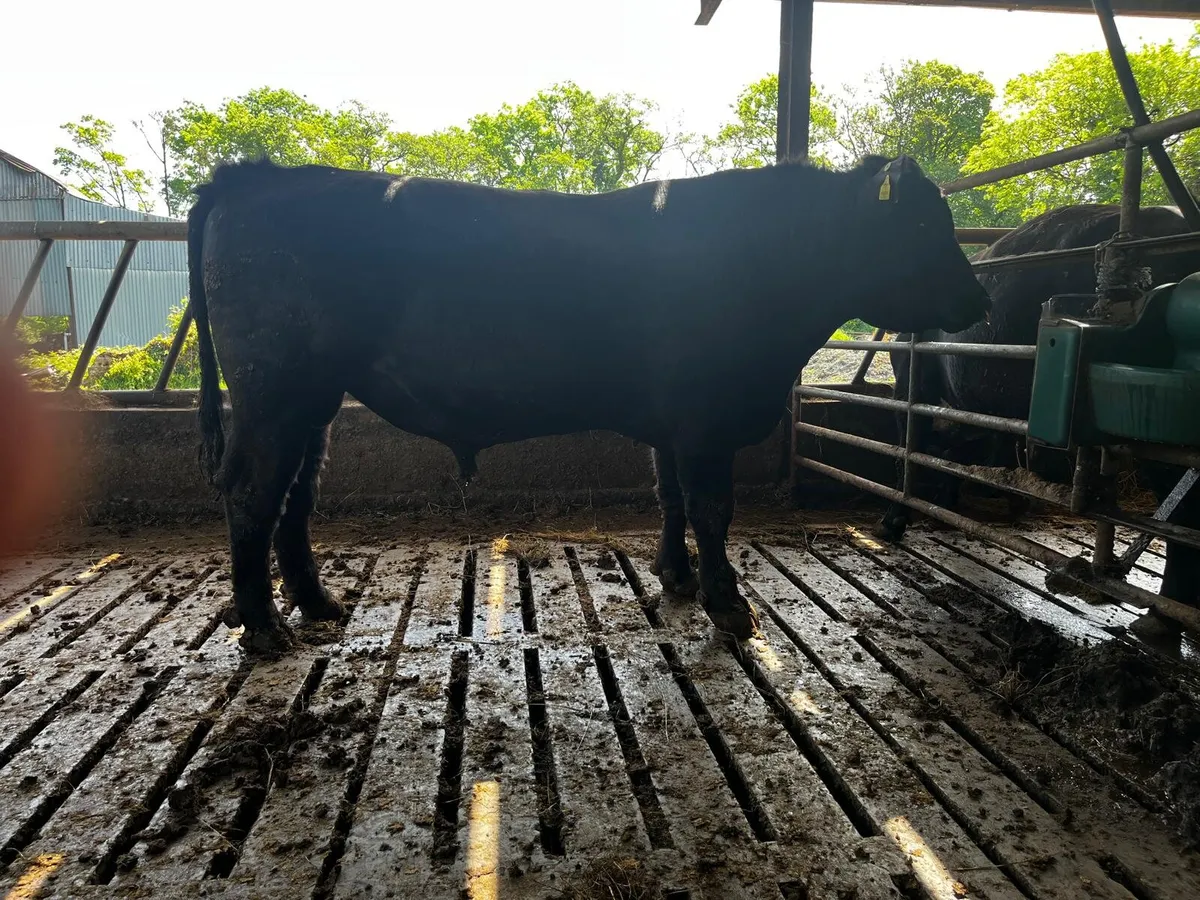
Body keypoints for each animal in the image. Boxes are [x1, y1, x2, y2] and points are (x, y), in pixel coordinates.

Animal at [187, 154, 990, 652]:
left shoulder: (674, 419)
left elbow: (670, 497)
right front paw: (729, 605)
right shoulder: (706, 416)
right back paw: (264, 627)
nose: (979, 301)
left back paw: (317, 603)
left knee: (296, 493)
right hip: (273, 389)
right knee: (254, 492)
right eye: (923, 225)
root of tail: (250, 174)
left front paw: (677, 577)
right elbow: (712, 508)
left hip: (311, 398)